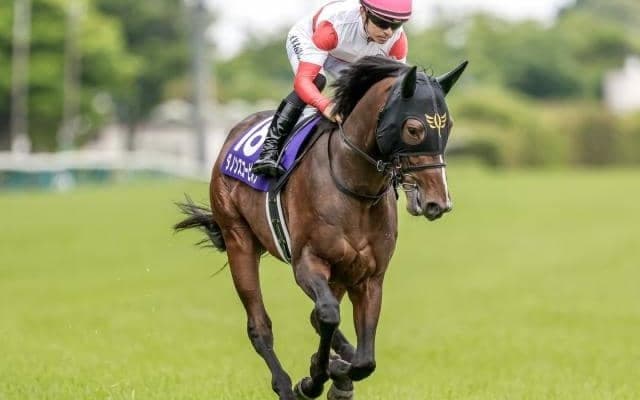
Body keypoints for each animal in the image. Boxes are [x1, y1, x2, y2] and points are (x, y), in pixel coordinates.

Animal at [174, 55, 467, 400]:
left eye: (448, 126)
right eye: (413, 128)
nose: (439, 201)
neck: (354, 186)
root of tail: (236, 130)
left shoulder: (369, 276)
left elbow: (364, 359)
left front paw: (337, 371)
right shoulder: (308, 262)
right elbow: (328, 314)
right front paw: (314, 379)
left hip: (340, 273)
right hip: (239, 240)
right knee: (260, 326)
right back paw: (287, 386)